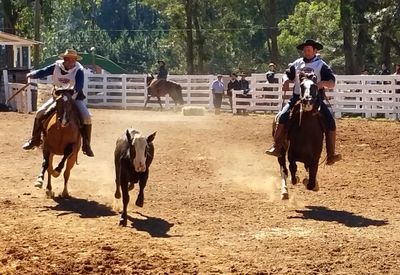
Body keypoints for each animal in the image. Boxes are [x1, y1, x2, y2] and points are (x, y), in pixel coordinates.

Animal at [278, 70, 324, 201]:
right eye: (302, 86)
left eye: (314, 86)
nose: (307, 100)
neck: (306, 134)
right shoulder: (291, 154)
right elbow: (292, 170)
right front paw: (297, 179)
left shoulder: (314, 159)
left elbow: (311, 181)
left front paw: (312, 183)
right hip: (281, 151)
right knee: (283, 169)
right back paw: (284, 191)